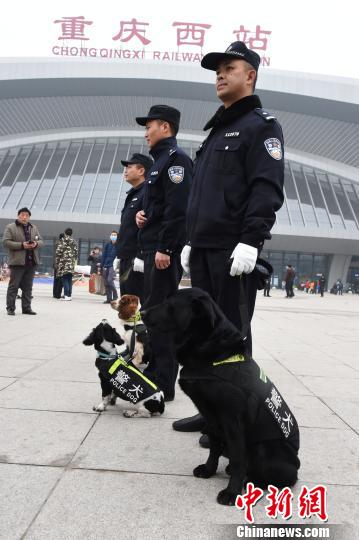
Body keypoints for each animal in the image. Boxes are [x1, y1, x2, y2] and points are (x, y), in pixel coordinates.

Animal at [141, 288, 300, 504]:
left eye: (170, 305)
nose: (142, 313)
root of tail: (296, 464)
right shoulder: (211, 417)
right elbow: (214, 448)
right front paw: (209, 470)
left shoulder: (232, 420)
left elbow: (239, 458)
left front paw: (232, 492)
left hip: (264, 450)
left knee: (278, 479)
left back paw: (251, 482)